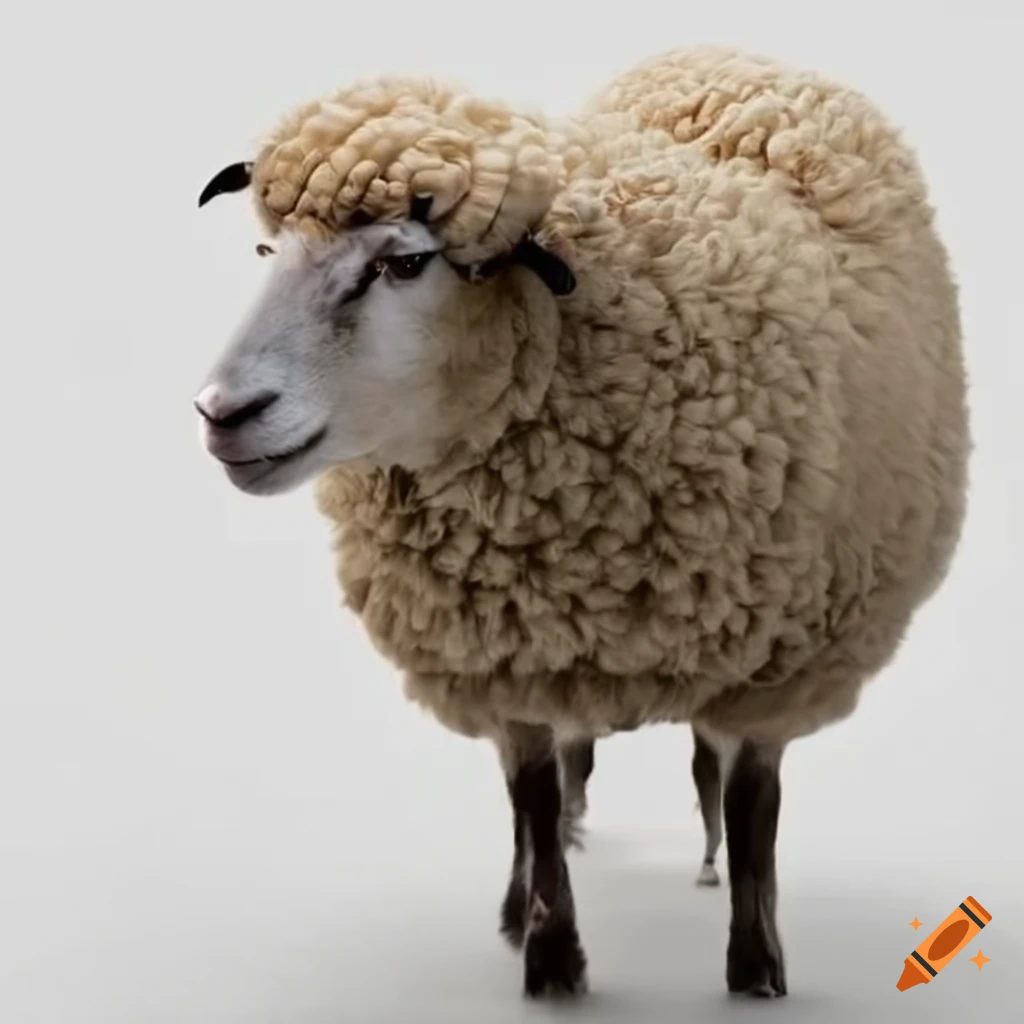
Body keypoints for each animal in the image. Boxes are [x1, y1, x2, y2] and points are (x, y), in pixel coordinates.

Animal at [193, 44, 970, 1001]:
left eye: (404, 265)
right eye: (269, 250)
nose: (223, 412)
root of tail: (727, 50)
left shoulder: (781, 660)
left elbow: (755, 810)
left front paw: (757, 968)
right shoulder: (509, 650)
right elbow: (531, 796)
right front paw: (551, 958)